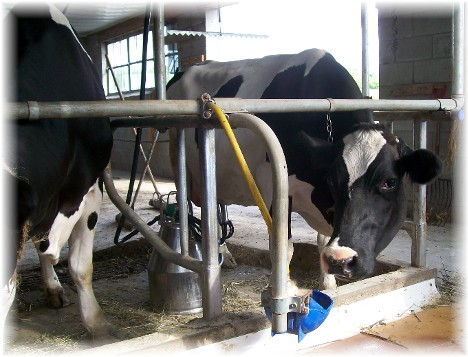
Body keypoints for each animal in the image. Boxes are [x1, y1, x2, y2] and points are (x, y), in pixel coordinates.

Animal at [167, 48, 442, 290]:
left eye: (390, 182)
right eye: (332, 181)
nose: (341, 260)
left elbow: (322, 241)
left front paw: (328, 283)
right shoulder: (270, 182)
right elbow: (283, 246)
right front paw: (283, 287)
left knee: (214, 211)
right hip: (181, 163)